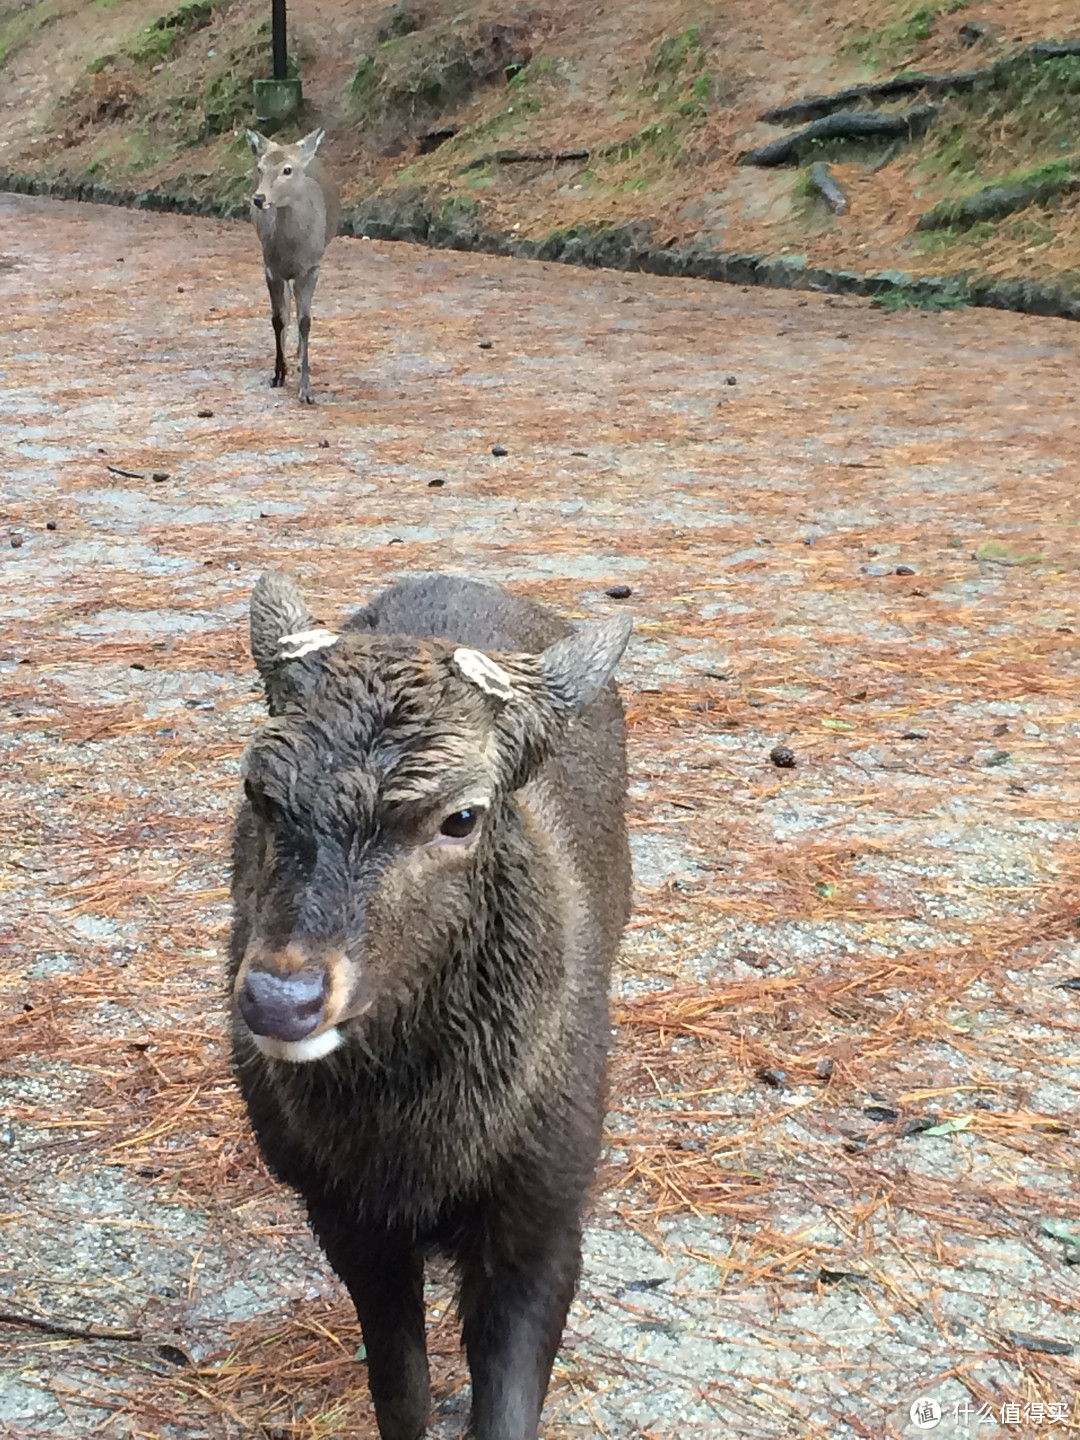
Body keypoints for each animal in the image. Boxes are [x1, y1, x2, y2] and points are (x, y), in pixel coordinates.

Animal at [247, 127, 339, 406]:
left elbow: (305, 321)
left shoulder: (311, 268)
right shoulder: (270, 268)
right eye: (260, 168)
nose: (259, 198)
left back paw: (298, 356)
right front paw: (278, 374)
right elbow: (278, 318)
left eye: (287, 170)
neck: (292, 251)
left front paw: (306, 390)